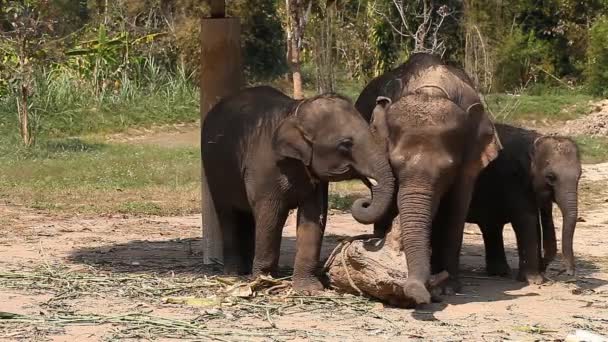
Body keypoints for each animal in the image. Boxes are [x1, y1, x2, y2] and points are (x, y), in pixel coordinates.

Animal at [202, 85, 396, 292]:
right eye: (345, 144)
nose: (365, 201)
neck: (295, 112)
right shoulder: (264, 168)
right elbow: (270, 215)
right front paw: (263, 281)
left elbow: (313, 217)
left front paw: (309, 289)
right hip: (214, 170)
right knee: (228, 214)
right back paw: (235, 273)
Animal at [354, 52, 502, 304]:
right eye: (395, 163)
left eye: (448, 169)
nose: (426, 295)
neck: (432, 90)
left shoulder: (469, 163)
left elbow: (456, 211)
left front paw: (449, 288)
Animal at [468, 123, 580, 284]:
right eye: (550, 177)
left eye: (580, 176)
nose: (569, 273)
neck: (532, 141)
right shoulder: (513, 179)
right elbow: (527, 219)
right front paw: (534, 280)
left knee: (491, 226)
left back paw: (500, 273)